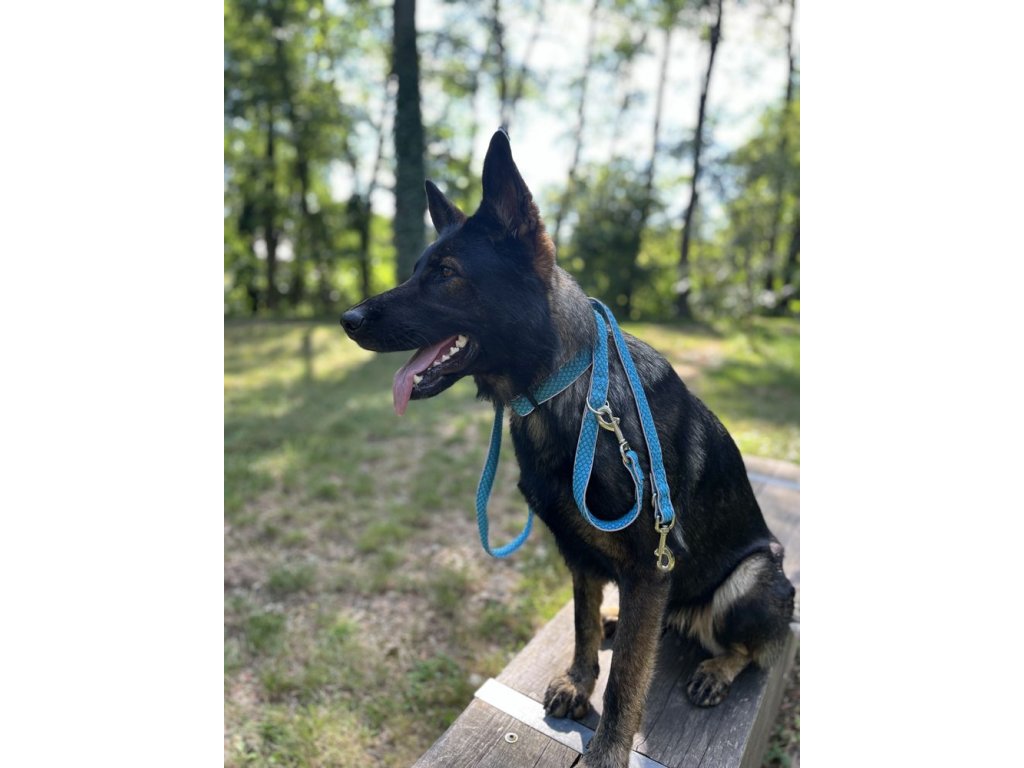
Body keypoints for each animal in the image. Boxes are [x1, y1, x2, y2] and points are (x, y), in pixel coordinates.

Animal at [342, 130, 795, 768]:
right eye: (415, 271)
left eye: (447, 274)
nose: (347, 318)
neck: (567, 390)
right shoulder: (579, 555)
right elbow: (580, 625)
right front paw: (581, 681)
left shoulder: (650, 566)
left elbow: (628, 679)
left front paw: (607, 749)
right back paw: (619, 621)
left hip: (752, 575)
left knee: (756, 646)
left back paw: (716, 667)